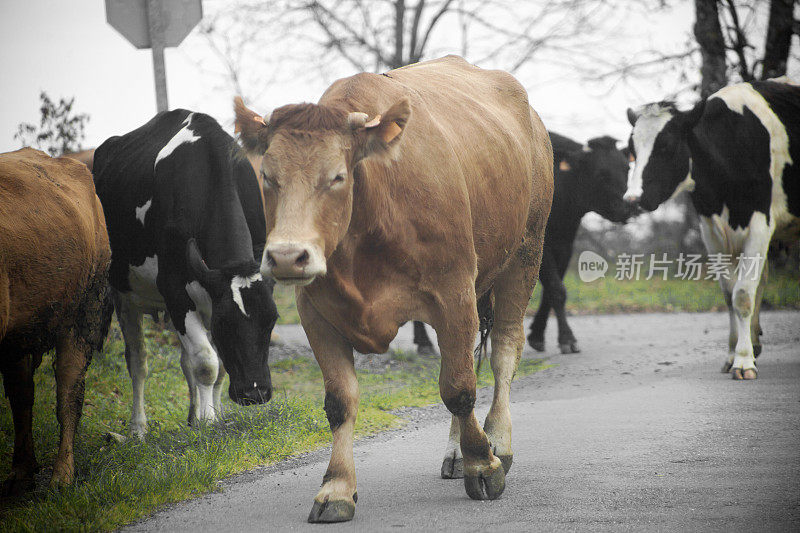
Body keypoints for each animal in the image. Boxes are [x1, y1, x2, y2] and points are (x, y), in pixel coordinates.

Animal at [0, 147, 111, 494]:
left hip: (81, 316)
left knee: (68, 394)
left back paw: (61, 475)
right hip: (18, 340)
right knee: (23, 397)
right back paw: (21, 471)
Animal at [94, 109, 278, 436]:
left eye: (272, 320)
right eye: (225, 324)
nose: (255, 393)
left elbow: (217, 366)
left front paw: (212, 417)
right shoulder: (175, 290)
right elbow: (206, 363)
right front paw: (207, 421)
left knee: (182, 360)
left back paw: (192, 416)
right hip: (123, 292)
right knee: (138, 360)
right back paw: (138, 428)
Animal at [234, 56, 552, 520]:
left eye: (338, 177)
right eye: (269, 178)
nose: (287, 256)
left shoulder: (454, 292)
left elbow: (458, 388)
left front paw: (484, 464)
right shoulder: (315, 310)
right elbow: (340, 401)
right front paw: (336, 488)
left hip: (526, 252)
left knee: (503, 352)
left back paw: (498, 441)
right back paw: (458, 451)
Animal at [628, 78, 796, 378]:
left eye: (666, 146)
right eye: (631, 150)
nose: (632, 199)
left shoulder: (760, 223)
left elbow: (743, 295)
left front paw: (743, 360)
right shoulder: (712, 232)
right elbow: (730, 295)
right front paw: (734, 354)